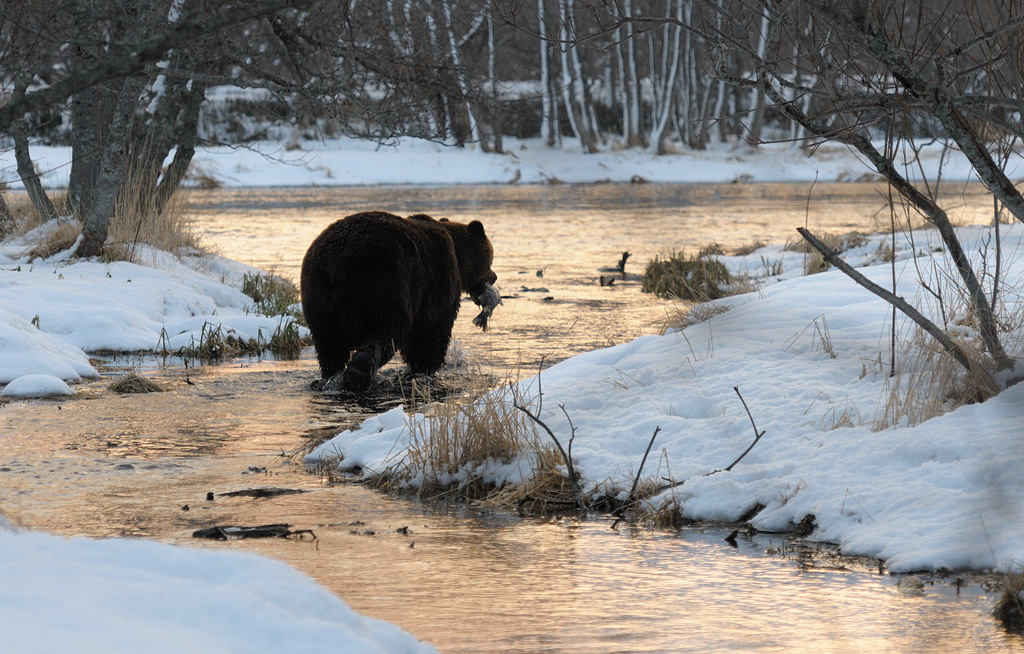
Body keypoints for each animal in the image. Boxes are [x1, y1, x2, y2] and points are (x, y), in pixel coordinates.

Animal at [299, 212, 495, 390]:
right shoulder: (438, 284)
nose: (494, 276)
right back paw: (358, 375)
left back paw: (328, 378)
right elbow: (431, 333)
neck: (457, 254)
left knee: (329, 347)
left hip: (318, 296)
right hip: (384, 286)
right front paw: (423, 370)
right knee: (387, 332)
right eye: (489, 262)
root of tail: (338, 263)